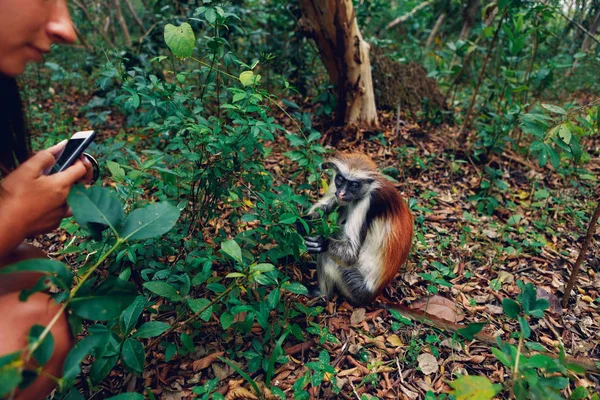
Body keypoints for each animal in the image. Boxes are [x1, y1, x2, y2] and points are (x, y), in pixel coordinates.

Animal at [304, 152, 412, 304]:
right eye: (340, 180)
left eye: (354, 185)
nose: (342, 193)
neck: (371, 187)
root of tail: (374, 295)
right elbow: (327, 204)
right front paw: (304, 221)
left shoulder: (366, 202)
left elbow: (350, 254)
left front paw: (322, 243)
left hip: (354, 286)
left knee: (327, 257)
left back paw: (322, 296)